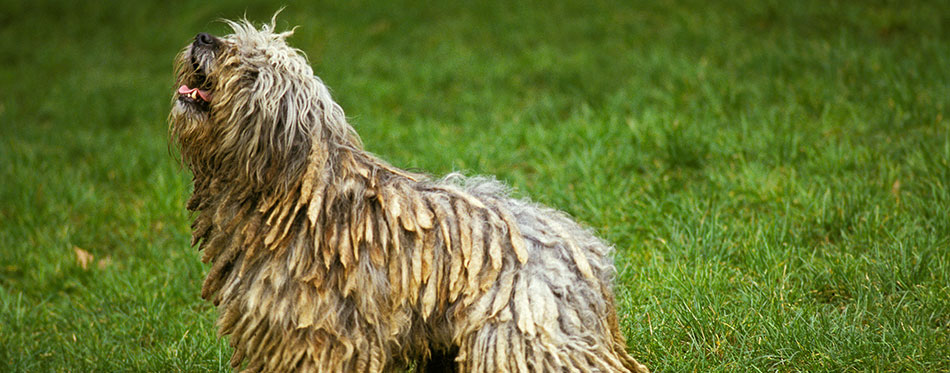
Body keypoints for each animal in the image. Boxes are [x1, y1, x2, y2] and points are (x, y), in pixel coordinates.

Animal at [171, 18, 652, 372]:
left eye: (248, 64)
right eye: (234, 40)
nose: (203, 38)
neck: (296, 197)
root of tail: (588, 258)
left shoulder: (320, 333)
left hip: (520, 333)